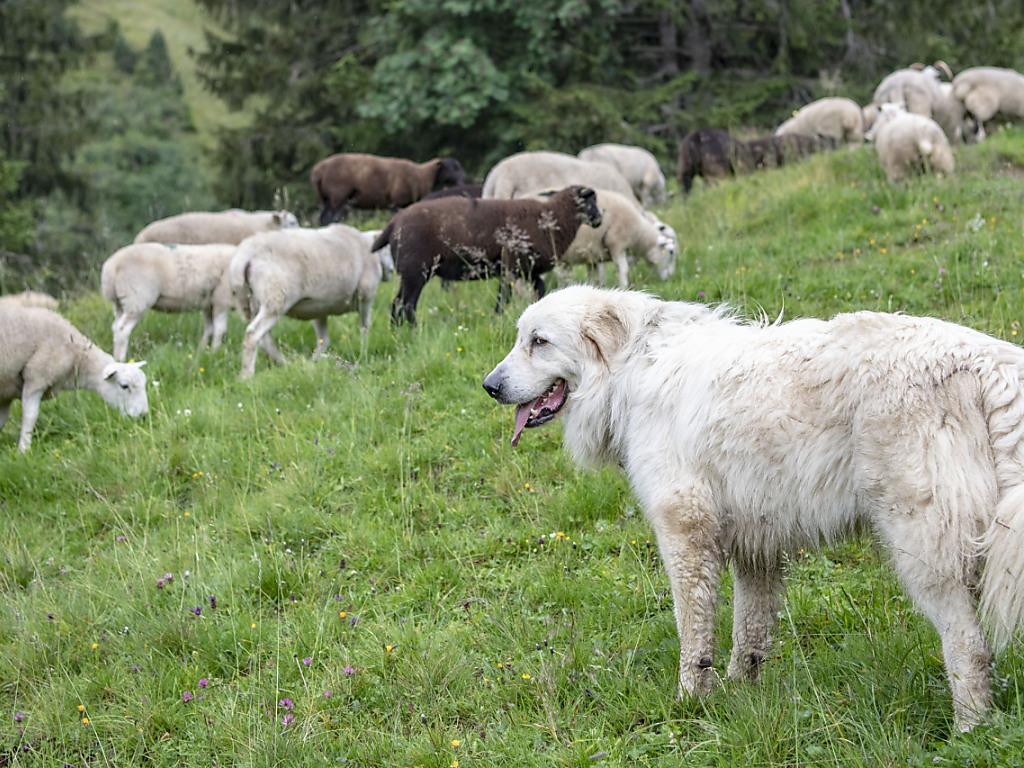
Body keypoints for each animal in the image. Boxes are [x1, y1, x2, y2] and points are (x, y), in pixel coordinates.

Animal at [0, 306, 148, 451]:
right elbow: (30, 416)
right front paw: (24, 450)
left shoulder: (6, 394)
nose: (143, 416)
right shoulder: (36, 378)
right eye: (124, 386)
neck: (75, 354)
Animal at [100, 243, 238, 362]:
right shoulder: (222, 299)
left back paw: (115, 358)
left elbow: (209, 329)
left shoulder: (209, 304)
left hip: (120, 303)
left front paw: (203, 351)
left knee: (115, 326)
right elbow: (220, 330)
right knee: (122, 329)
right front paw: (215, 353)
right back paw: (121, 359)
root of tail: (112, 266)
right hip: (136, 298)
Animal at [229, 224, 394, 379]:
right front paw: (364, 352)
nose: (393, 270)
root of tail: (246, 253)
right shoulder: (365, 296)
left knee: (264, 339)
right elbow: (365, 328)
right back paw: (247, 375)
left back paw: (283, 363)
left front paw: (314, 362)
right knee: (253, 334)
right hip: (276, 298)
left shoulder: (319, 308)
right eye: (388, 248)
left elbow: (324, 340)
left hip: (254, 302)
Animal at [310, 153, 467, 224]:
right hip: (337, 195)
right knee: (328, 218)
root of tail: (318, 170)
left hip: (328, 198)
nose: (465, 179)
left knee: (324, 218)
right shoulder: (396, 203)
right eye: (453, 167)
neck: (422, 175)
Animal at [372, 186, 603, 325]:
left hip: (410, 272)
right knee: (406, 304)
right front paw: (498, 318)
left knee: (397, 304)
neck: (552, 219)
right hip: (415, 270)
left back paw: (398, 332)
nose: (599, 219)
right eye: (589, 201)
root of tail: (394, 223)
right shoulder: (511, 266)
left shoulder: (527, 270)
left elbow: (539, 288)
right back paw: (413, 330)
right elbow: (504, 295)